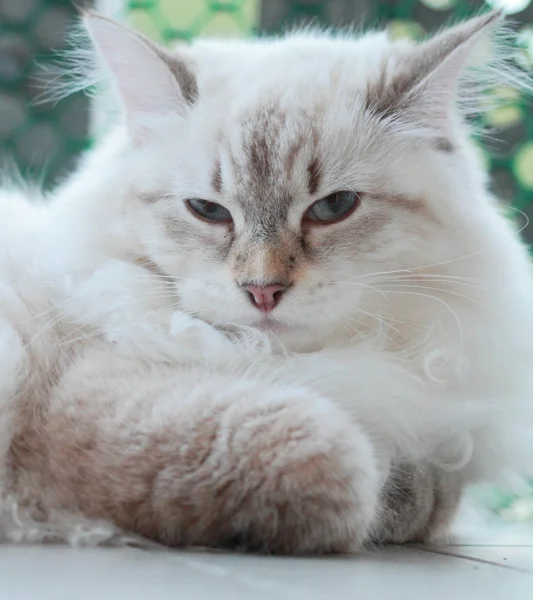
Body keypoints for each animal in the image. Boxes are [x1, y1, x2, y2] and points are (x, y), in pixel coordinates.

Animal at [1, 9, 532, 552]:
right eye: (208, 210)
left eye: (334, 207)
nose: (263, 290)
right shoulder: (90, 406)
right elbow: (342, 468)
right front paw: (378, 498)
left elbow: (431, 491)